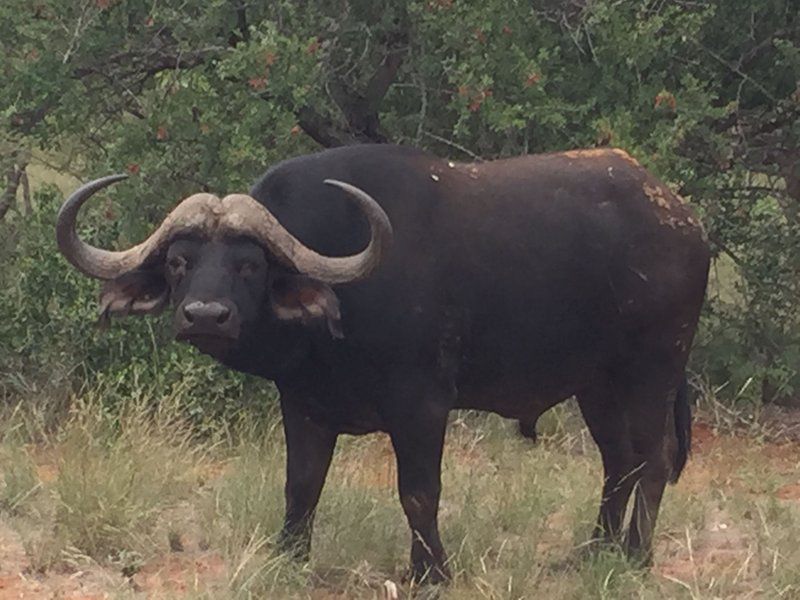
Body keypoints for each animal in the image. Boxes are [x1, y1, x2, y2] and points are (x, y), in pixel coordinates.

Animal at [56, 144, 708, 580]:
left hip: (653, 370)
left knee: (653, 459)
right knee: (619, 461)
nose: (205, 316)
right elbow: (301, 486)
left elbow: (418, 491)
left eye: (250, 265)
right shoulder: (304, 404)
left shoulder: (422, 405)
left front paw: (430, 572)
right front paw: (290, 556)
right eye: (178, 262)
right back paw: (594, 550)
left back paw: (636, 556)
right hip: (596, 385)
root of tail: (684, 222)